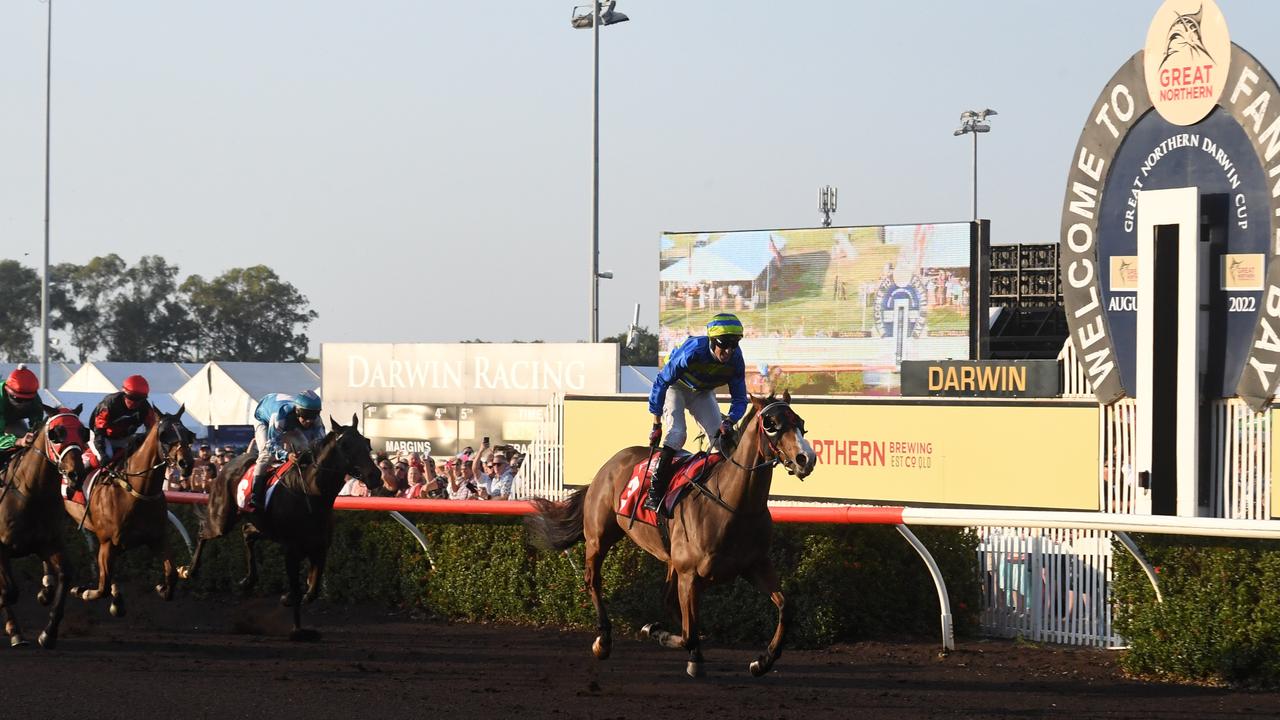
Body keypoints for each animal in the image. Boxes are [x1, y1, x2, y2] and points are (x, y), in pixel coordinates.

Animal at [0, 404, 87, 645]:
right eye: (56, 433)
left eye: (84, 432)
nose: (77, 473)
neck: (32, 494)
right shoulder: (0, 549)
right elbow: (9, 591)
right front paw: (14, 631)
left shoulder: (50, 542)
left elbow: (66, 574)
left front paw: (48, 633)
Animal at [62, 407, 195, 614]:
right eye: (164, 435)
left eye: (188, 434)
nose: (186, 463)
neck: (137, 491)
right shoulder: (108, 542)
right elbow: (102, 588)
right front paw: (82, 591)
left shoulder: (156, 538)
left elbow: (172, 574)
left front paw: (161, 588)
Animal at [179, 415, 378, 638]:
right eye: (345, 445)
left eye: (367, 442)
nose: (375, 476)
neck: (311, 494)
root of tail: (228, 464)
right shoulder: (291, 550)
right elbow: (298, 591)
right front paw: (297, 630)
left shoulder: (320, 548)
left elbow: (313, 590)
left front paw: (290, 597)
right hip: (222, 519)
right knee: (203, 533)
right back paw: (189, 571)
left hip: (264, 526)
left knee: (247, 533)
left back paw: (248, 580)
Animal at [524, 389, 814, 676]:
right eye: (771, 425)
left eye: (800, 423)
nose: (806, 459)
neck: (733, 505)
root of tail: (608, 465)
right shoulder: (691, 574)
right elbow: (688, 634)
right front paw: (662, 636)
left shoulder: (754, 564)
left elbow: (785, 607)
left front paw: (763, 661)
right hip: (599, 537)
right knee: (593, 580)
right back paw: (603, 641)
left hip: (670, 558)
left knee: (669, 601)